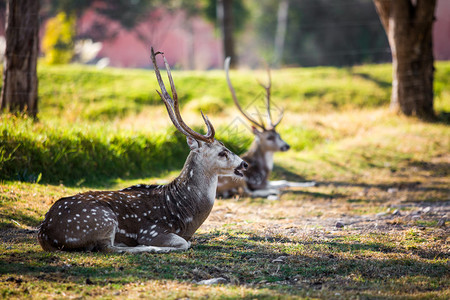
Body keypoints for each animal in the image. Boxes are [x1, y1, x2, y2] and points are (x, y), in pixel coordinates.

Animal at [37, 47, 250, 253]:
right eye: (222, 152)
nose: (245, 164)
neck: (186, 215)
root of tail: (45, 232)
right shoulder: (152, 230)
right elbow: (184, 243)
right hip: (100, 219)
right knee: (107, 248)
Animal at [216, 57, 314, 199]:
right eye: (269, 137)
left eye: (279, 135)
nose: (286, 146)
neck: (264, 171)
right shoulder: (257, 182)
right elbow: (280, 183)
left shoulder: (265, 181)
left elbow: (284, 181)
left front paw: (312, 183)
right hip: (237, 178)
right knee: (246, 193)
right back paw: (273, 194)